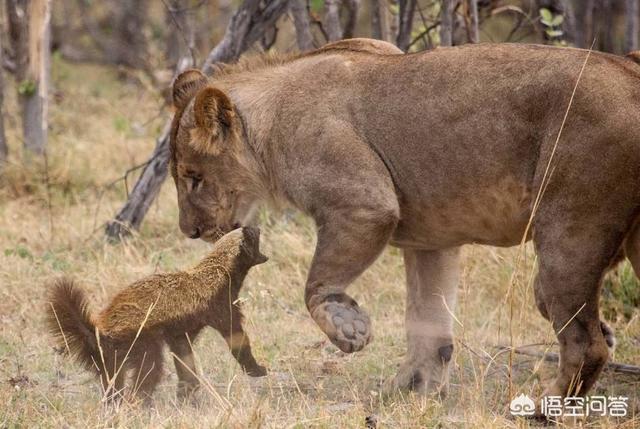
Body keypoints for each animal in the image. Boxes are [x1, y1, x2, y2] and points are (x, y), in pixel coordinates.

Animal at [47, 226, 268, 400]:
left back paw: (115, 404)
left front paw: (187, 390)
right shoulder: (220, 305)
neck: (220, 270)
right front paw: (257, 370)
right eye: (252, 234)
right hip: (141, 341)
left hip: (112, 358)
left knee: (112, 382)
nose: (257, 226)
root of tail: (100, 331)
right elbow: (236, 338)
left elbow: (183, 355)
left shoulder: (181, 330)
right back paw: (139, 403)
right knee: (149, 371)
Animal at [168, 37, 640, 402]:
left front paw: (349, 329)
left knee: (585, 344)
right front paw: (410, 390)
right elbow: (428, 322)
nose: (190, 232)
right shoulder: (431, 238)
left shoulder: (365, 204)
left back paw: (541, 409)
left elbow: (316, 285)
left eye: (193, 178)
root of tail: (629, 70)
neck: (267, 126)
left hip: (570, 228)